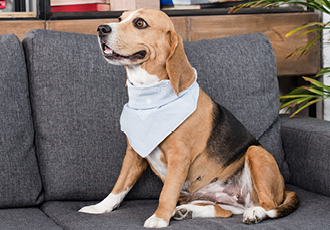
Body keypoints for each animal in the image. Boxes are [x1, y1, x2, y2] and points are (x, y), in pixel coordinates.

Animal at [79, 8, 300, 228]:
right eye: (119, 18)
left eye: (140, 23)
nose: (101, 29)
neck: (149, 95)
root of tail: (283, 187)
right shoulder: (134, 155)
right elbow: (119, 186)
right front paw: (100, 207)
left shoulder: (179, 157)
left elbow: (166, 192)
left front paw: (159, 218)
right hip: (214, 197)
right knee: (224, 211)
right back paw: (187, 211)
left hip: (256, 153)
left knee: (268, 204)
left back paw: (256, 213)